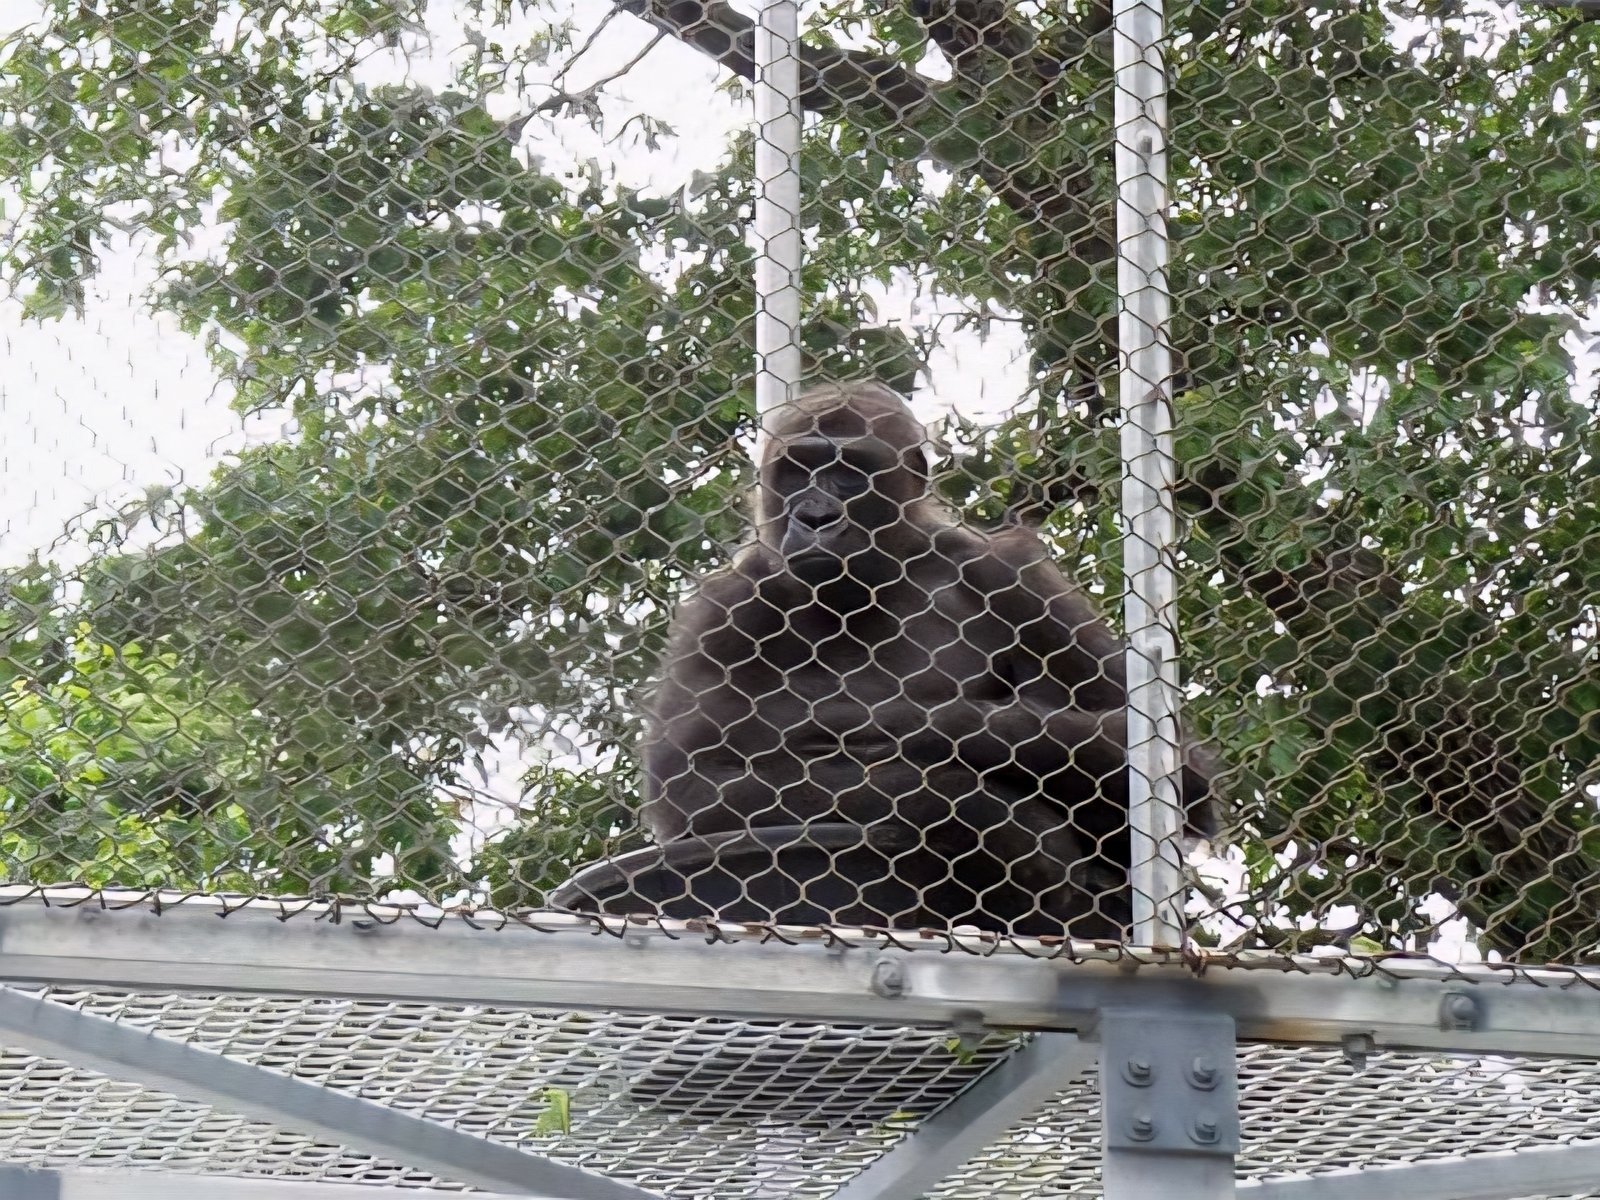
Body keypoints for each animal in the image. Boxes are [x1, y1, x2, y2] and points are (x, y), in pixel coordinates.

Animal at [640, 380, 1219, 938]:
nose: (815, 517)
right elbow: (692, 782)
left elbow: (1166, 757)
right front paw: (991, 814)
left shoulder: (1010, 573)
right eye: (797, 471)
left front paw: (908, 731)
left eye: (849, 474)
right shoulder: (722, 609)